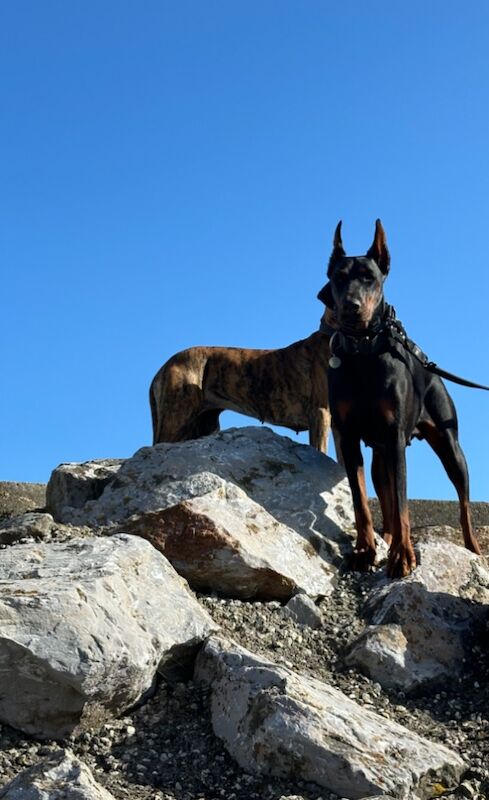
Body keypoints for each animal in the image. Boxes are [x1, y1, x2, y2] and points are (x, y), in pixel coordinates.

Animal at [316, 219, 480, 580]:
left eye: (370, 277)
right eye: (338, 278)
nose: (351, 307)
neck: (363, 353)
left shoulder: (394, 438)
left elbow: (404, 503)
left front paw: (403, 557)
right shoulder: (348, 437)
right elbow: (362, 502)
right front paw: (365, 552)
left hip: (449, 444)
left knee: (462, 500)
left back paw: (472, 547)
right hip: (380, 454)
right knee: (386, 497)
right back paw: (387, 539)